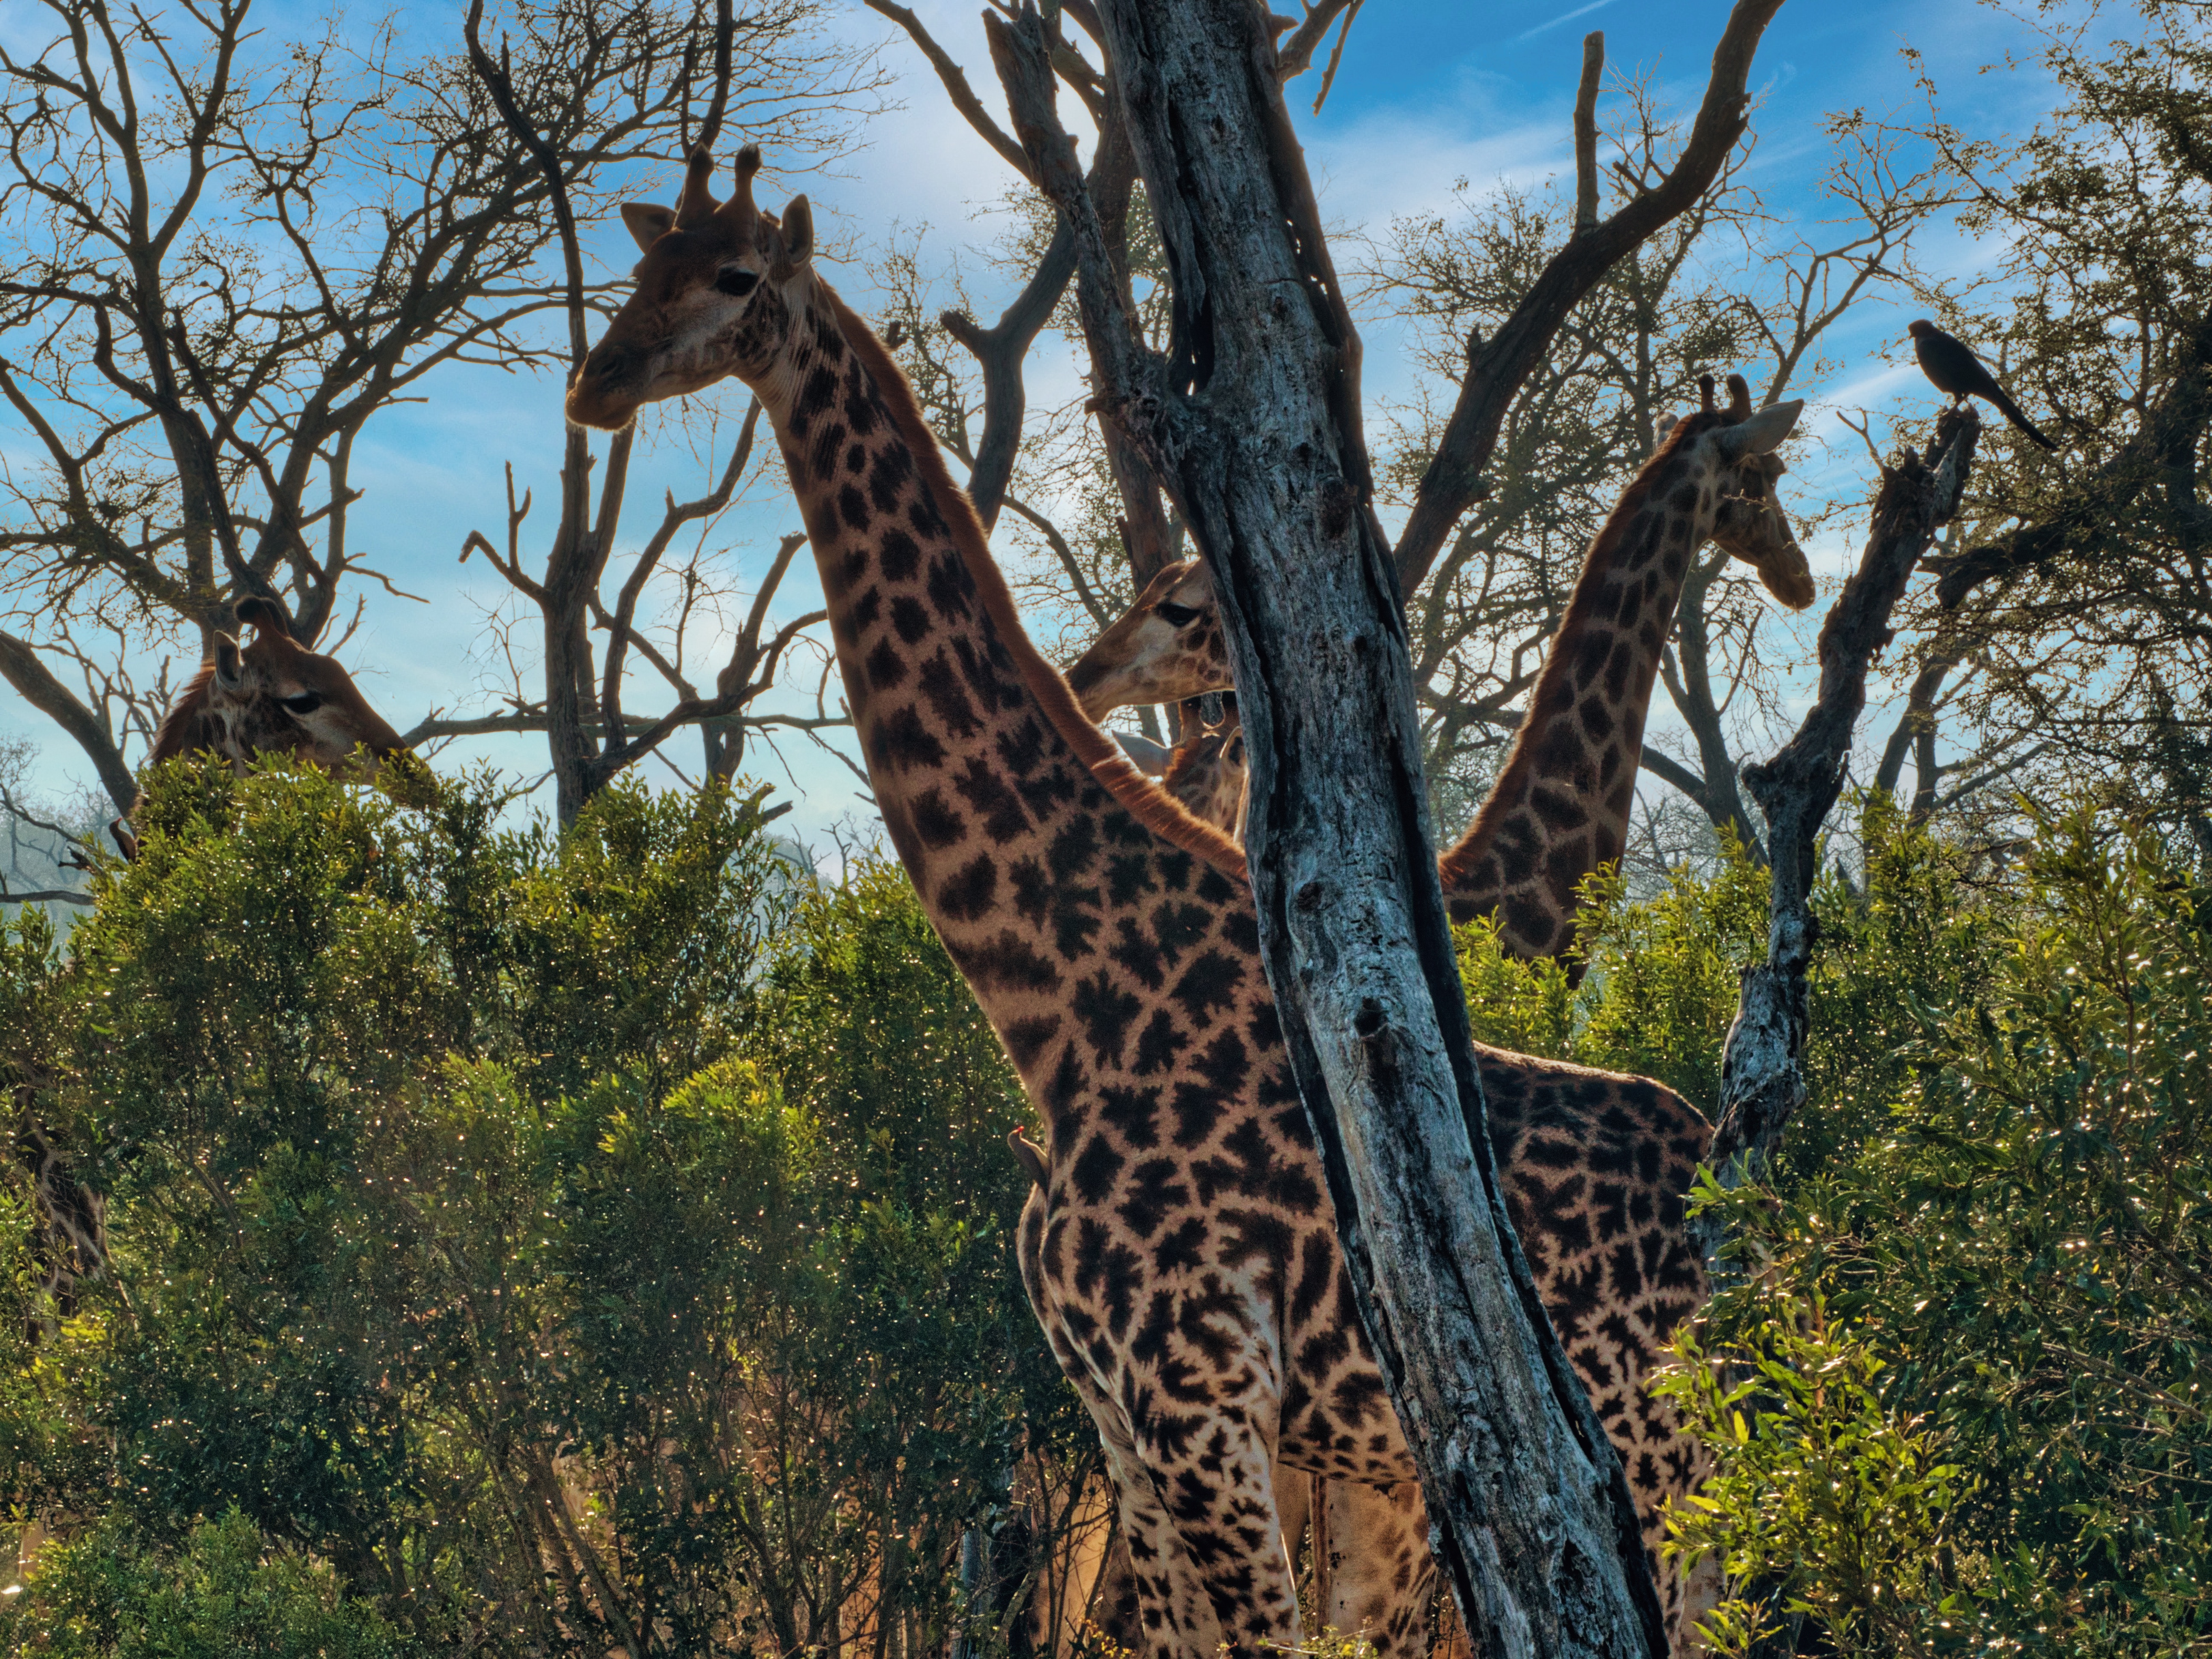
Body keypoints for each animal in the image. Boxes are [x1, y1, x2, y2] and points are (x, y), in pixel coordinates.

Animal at [569, 144, 1723, 1656]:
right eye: (638, 267)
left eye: (735, 275)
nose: (596, 381)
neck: (1060, 1001)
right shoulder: (1130, 1419)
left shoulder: (1201, 1402)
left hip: (1643, 1458)